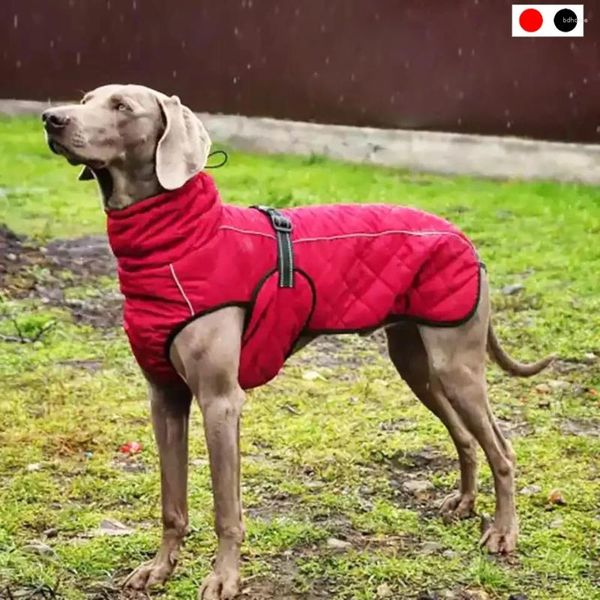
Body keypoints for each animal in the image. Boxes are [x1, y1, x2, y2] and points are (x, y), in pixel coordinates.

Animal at [43, 84, 552, 600]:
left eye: (122, 107)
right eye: (86, 99)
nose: (50, 118)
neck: (180, 243)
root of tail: (465, 238)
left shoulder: (220, 401)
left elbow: (226, 510)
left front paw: (225, 577)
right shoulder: (164, 397)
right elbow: (172, 503)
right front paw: (160, 569)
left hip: (456, 366)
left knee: (502, 450)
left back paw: (503, 532)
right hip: (416, 364)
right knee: (465, 437)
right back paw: (465, 503)